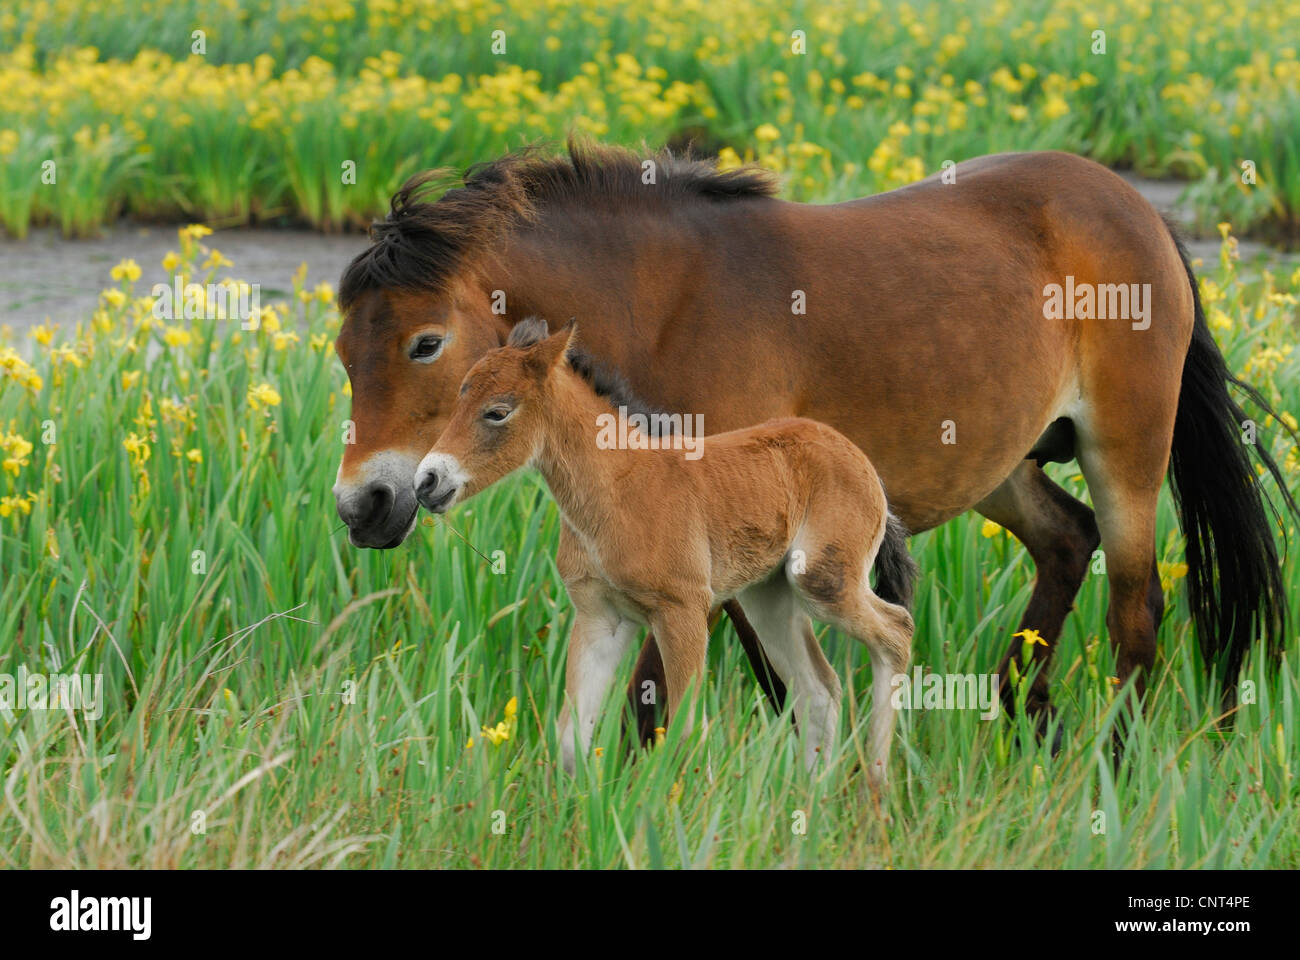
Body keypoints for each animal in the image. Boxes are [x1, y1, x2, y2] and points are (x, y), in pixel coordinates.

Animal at [416, 317, 915, 780]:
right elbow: (570, 740)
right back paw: (813, 797)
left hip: (821, 580)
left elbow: (687, 730)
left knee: (897, 630)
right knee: (820, 690)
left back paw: (876, 785)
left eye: (497, 412)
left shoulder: (683, 609)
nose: (427, 482)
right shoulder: (600, 617)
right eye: (459, 397)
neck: (616, 489)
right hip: (768, 597)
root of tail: (863, 463)